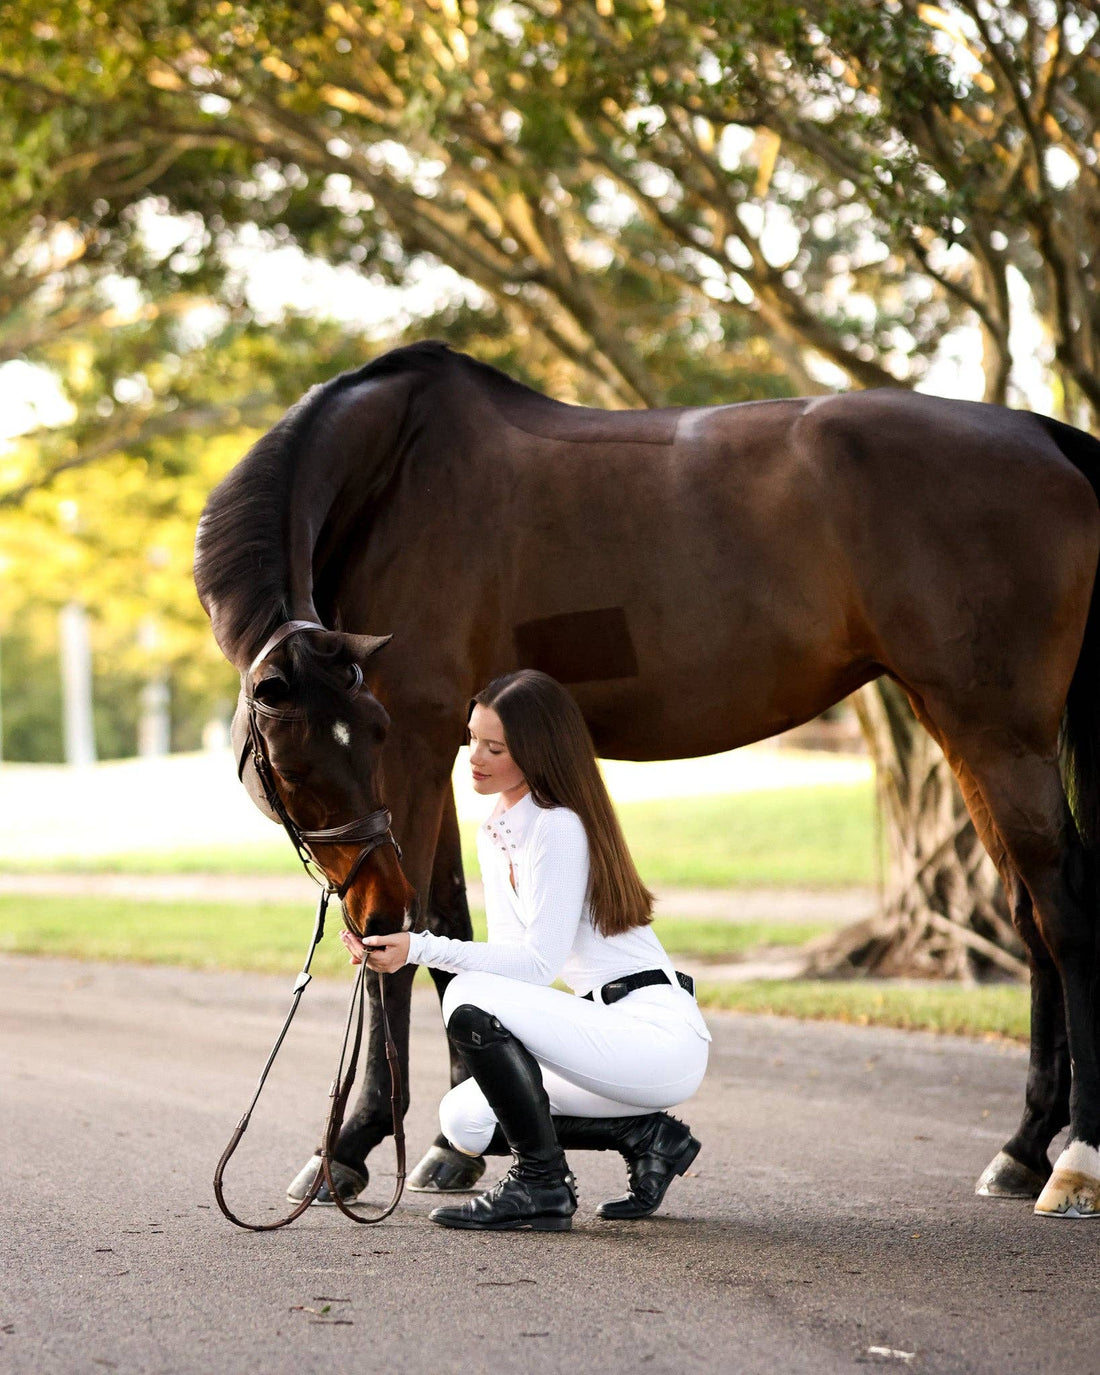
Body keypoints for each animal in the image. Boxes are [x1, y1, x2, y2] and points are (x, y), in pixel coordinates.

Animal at [194, 339, 1100, 1219]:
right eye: (300, 760)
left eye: (361, 739)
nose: (363, 883)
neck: (391, 472)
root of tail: (1042, 433)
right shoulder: (441, 743)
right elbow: (448, 927)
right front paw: (452, 1144)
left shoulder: (419, 734)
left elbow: (402, 945)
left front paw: (345, 1150)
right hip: (961, 726)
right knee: (1028, 918)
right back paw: (1021, 1149)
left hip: (996, 731)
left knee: (1062, 912)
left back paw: (1074, 1163)